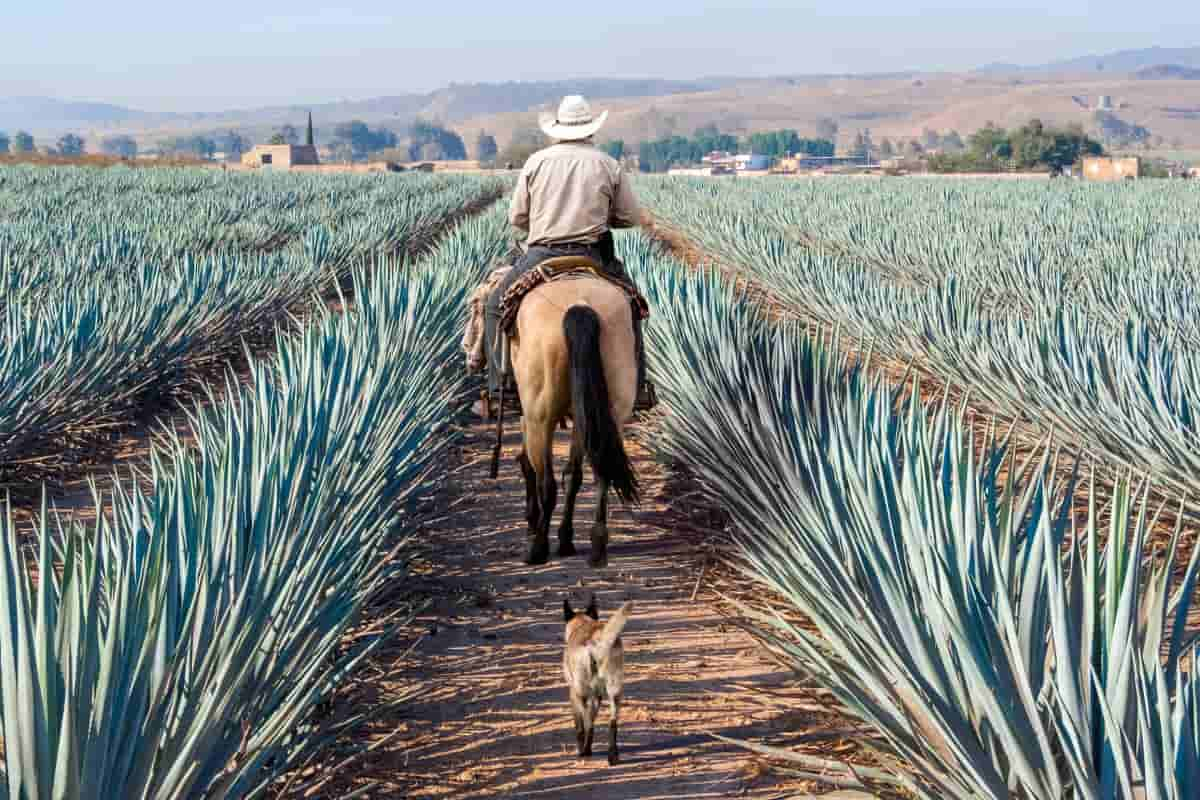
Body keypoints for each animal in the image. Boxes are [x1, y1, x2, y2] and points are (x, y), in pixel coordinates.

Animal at [511, 278, 643, 566]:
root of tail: (580, 305)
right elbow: (574, 475)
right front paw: (566, 539)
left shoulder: (530, 415)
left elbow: (530, 467)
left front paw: (534, 524)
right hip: (609, 409)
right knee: (602, 472)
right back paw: (597, 545)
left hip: (541, 415)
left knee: (546, 483)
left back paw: (537, 548)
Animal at [564, 594, 633, 762]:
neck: (582, 623)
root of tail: (597, 640)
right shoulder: (598, 696)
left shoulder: (573, 695)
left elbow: (580, 727)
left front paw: (582, 749)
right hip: (615, 693)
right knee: (612, 723)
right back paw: (612, 755)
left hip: (581, 693)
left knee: (587, 723)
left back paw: (584, 752)